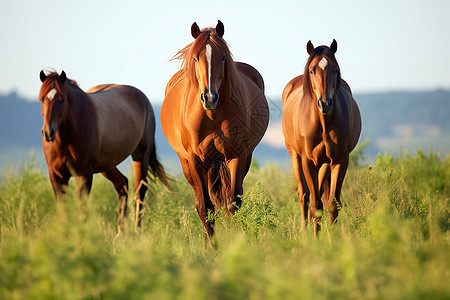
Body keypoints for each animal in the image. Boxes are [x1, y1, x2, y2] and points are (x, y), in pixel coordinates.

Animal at [37, 69, 170, 232]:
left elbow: (82, 211)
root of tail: (143, 99)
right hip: (107, 165)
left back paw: (136, 231)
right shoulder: (56, 175)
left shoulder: (83, 175)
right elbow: (63, 210)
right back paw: (120, 233)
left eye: (62, 100)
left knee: (140, 189)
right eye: (42, 99)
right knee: (122, 184)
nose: (47, 132)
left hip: (141, 155)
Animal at [161, 19, 268, 238]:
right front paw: (212, 244)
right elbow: (205, 207)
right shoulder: (195, 161)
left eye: (223, 57)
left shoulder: (236, 155)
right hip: (189, 165)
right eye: (195, 58)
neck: (211, 115)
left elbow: (232, 204)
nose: (209, 97)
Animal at [282, 39, 362, 236]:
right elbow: (315, 204)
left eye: (335, 70)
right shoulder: (308, 161)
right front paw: (314, 239)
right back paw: (304, 231)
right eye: (312, 70)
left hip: (325, 163)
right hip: (295, 155)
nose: (325, 103)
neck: (324, 122)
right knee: (304, 194)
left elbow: (332, 204)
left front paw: (332, 238)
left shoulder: (340, 160)